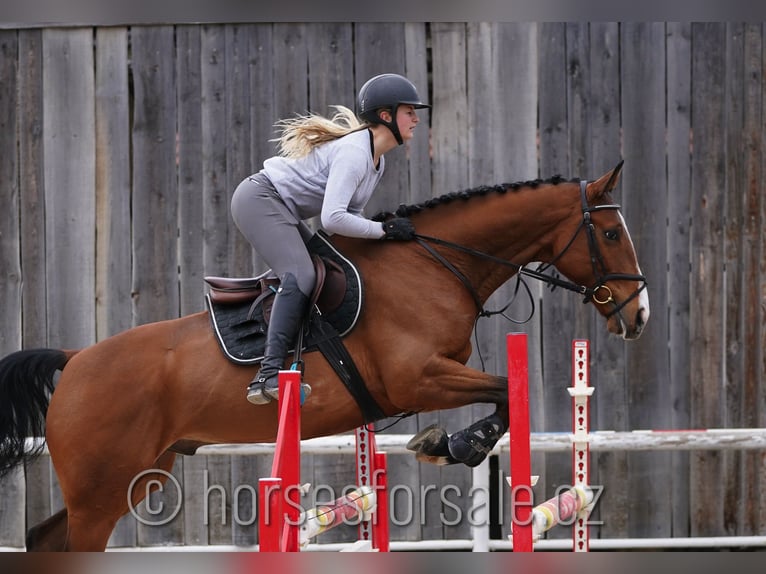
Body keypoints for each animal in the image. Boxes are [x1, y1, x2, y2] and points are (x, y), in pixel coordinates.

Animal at [0, 162, 652, 552]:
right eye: (611, 234)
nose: (638, 314)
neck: (434, 265)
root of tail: (75, 360)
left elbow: (504, 397)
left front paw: (450, 443)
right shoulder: (417, 379)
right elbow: (502, 392)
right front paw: (457, 444)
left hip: (139, 476)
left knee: (46, 539)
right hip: (101, 490)